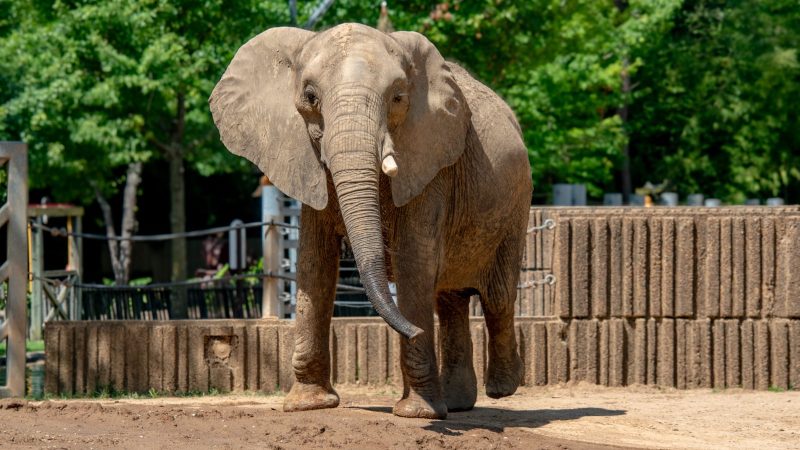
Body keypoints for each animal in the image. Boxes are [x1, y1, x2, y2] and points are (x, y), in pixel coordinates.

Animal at [210, 23, 532, 419]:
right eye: (310, 96)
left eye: (397, 97)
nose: (414, 332)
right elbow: (315, 262)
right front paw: (308, 405)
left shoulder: (430, 160)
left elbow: (414, 261)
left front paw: (418, 414)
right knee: (450, 299)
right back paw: (457, 404)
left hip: (517, 201)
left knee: (497, 296)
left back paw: (503, 388)